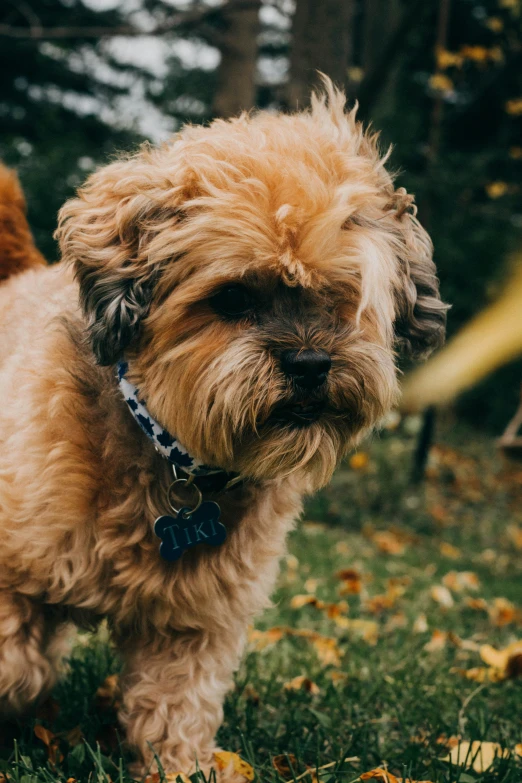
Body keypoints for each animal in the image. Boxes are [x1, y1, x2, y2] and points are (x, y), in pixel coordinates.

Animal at [0, 79, 444, 776]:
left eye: (342, 295)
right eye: (232, 298)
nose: (310, 363)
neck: (175, 462)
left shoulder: (195, 626)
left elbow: (175, 710)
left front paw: (181, 769)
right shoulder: (14, 575)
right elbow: (18, 665)